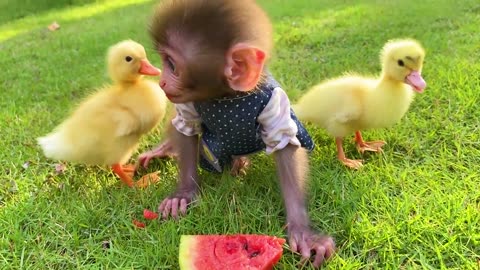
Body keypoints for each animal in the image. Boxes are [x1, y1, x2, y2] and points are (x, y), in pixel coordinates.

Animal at [141, 0, 336, 266]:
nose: (161, 82)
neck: (226, 97)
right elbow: (186, 128)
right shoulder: (188, 103)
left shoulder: (275, 102)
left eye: (171, 64)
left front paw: (303, 231)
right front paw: (184, 193)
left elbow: (285, 145)